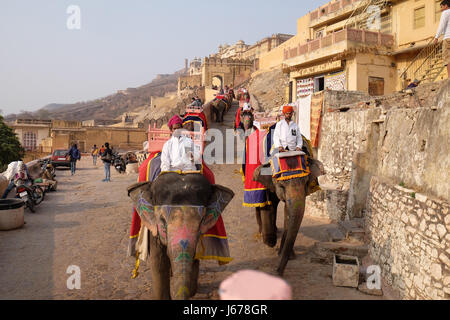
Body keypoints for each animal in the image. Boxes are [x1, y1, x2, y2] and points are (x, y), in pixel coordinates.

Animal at [125, 172, 234, 300]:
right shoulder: (153, 227)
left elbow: (194, 257)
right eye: (162, 220)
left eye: (202, 220)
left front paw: (192, 291)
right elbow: (159, 262)